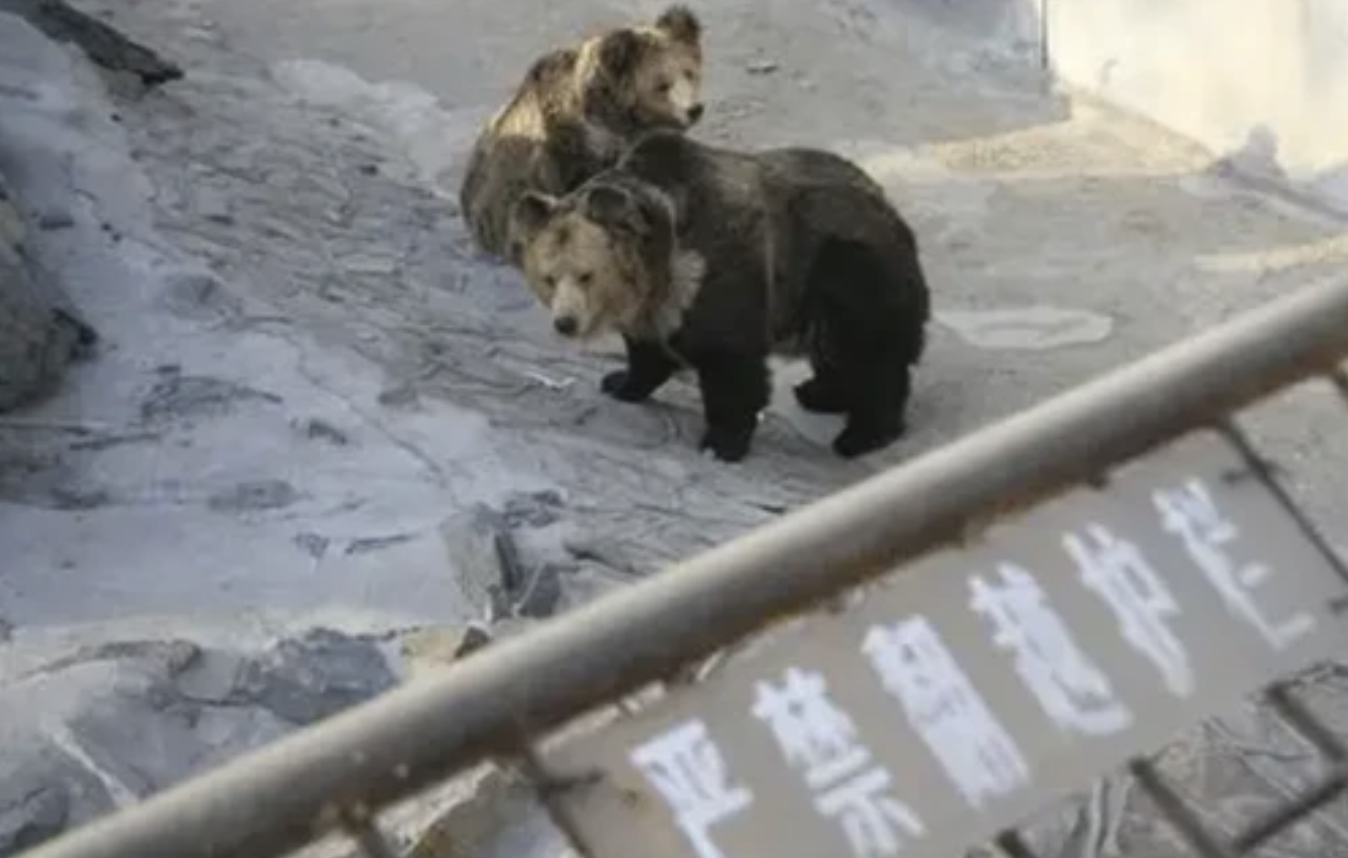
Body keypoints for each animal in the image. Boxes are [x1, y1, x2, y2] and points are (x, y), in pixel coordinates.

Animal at [507, 130, 932, 463]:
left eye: (586, 275)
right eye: (548, 277)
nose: (566, 322)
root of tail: (889, 208)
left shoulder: (720, 272)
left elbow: (731, 364)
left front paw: (721, 443)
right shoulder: (658, 301)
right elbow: (647, 349)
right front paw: (620, 382)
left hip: (846, 264)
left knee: (864, 352)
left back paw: (860, 434)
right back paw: (819, 392)